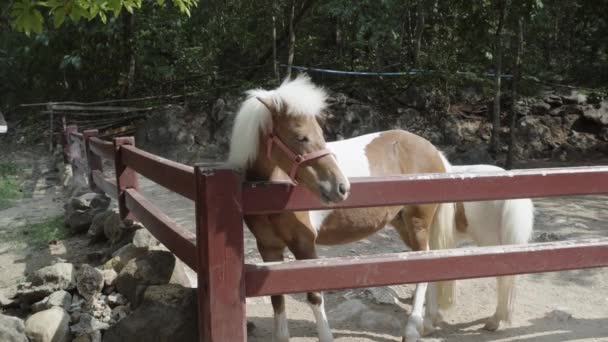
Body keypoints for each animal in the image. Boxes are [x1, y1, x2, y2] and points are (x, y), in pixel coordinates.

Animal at [229, 75, 456, 342]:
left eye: (320, 133)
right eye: (300, 136)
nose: (341, 187)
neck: (267, 192)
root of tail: (434, 150)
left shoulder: (304, 244)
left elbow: (315, 295)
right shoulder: (269, 247)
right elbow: (277, 297)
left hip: (418, 221)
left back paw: (412, 329)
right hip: (403, 224)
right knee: (428, 262)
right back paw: (427, 323)